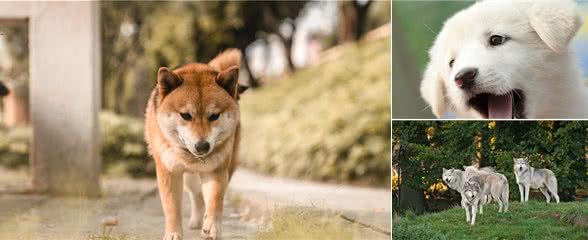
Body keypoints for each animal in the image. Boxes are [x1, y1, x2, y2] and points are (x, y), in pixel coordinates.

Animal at [147, 48, 248, 240]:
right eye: (186, 115)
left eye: (214, 116)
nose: (202, 146)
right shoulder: (169, 172)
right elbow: (172, 207)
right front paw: (173, 233)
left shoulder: (216, 170)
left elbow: (215, 200)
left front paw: (212, 227)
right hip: (189, 179)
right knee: (197, 196)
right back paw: (196, 221)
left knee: (203, 196)